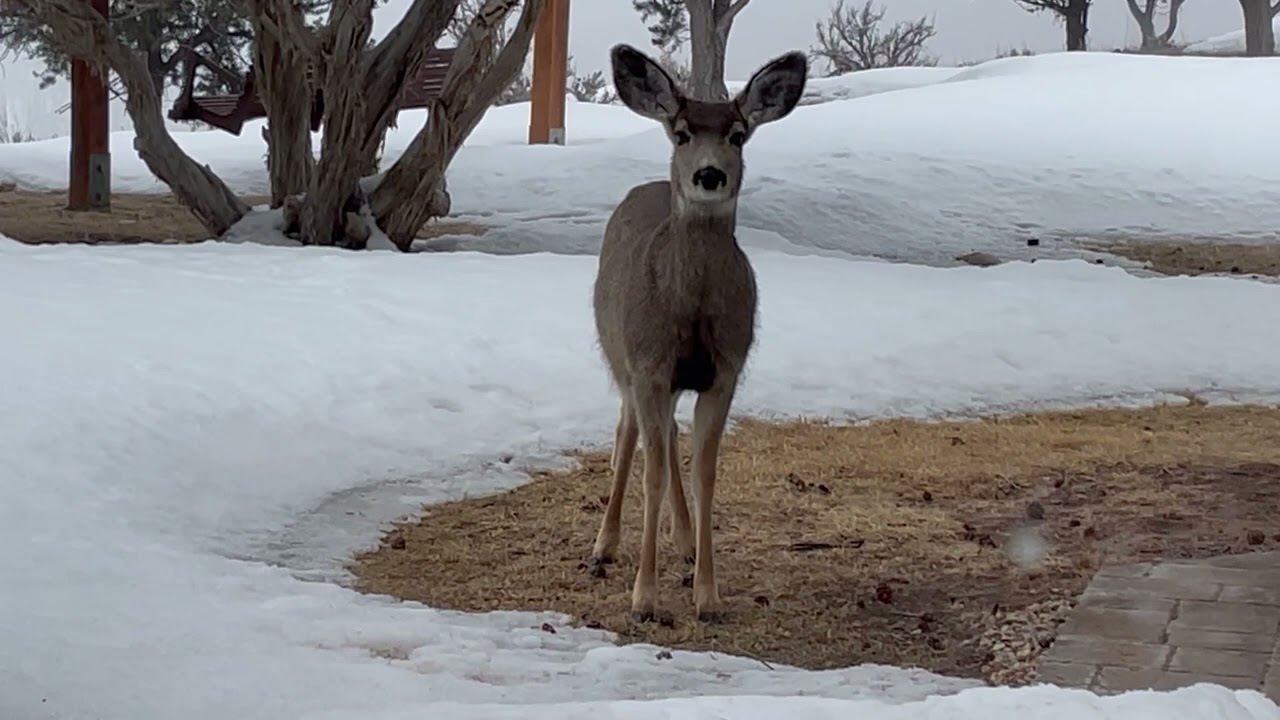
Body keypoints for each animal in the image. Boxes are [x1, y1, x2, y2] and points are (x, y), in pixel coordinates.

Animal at [588, 43, 808, 625]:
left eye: (738, 134)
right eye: (682, 132)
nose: (709, 176)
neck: (690, 313)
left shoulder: (725, 370)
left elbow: (702, 471)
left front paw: (707, 596)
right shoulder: (648, 364)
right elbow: (652, 473)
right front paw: (644, 599)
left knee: (666, 436)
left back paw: (685, 543)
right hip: (620, 356)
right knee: (630, 434)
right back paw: (604, 545)